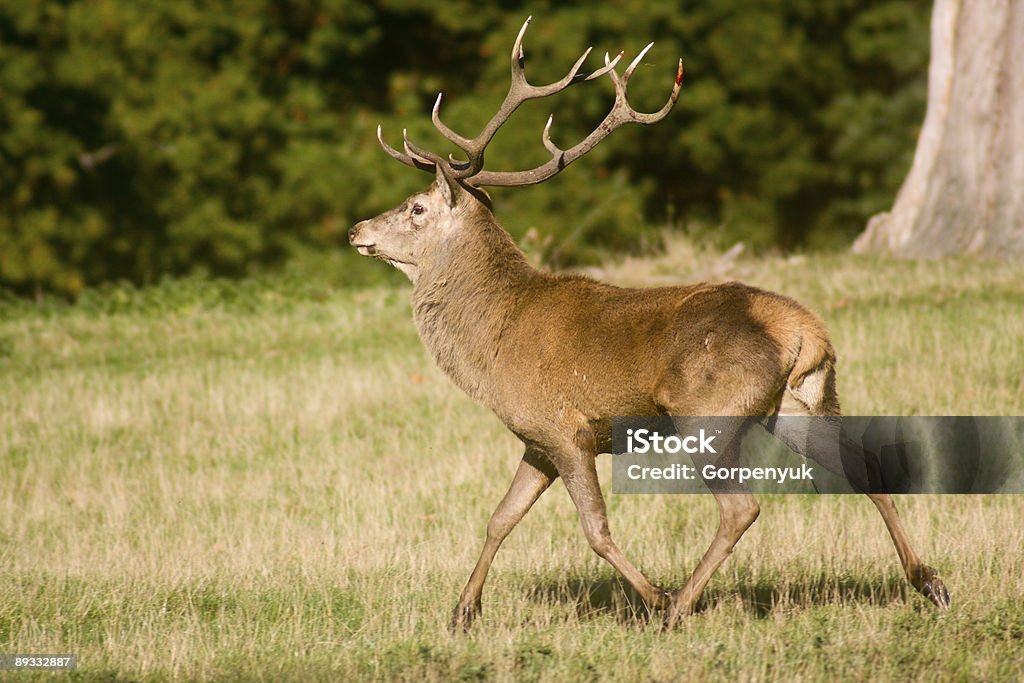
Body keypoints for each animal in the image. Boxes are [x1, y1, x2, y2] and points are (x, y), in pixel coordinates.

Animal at [348, 17, 946, 634]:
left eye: (417, 208)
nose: (356, 229)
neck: (492, 345)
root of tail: (805, 332)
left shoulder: (566, 427)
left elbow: (594, 529)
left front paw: (654, 595)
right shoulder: (536, 438)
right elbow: (500, 517)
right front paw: (463, 612)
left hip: (706, 412)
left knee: (742, 507)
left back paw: (677, 607)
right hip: (803, 403)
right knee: (866, 465)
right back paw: (929, 581)